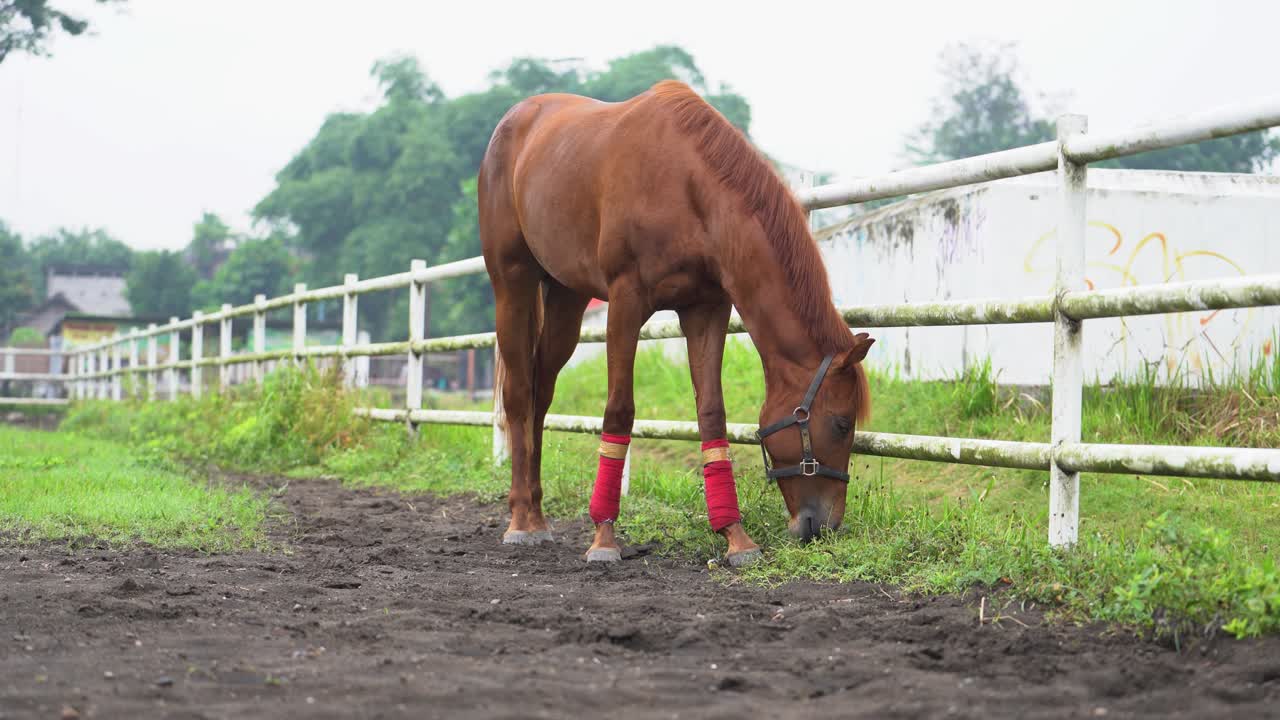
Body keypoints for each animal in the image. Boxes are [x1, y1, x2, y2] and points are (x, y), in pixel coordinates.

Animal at [479, 80, 873, 566]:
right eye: (841, 423)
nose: (826, 526)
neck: (689, 188)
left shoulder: (706, 309)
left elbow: (712, 414)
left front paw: (736, 537)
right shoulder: (625, 303)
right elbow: (619, 410)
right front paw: (604, 538)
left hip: (566, 298)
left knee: (541, 391)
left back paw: (536, 513)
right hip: (511, 282)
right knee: (518, 393)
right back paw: (520, 520)